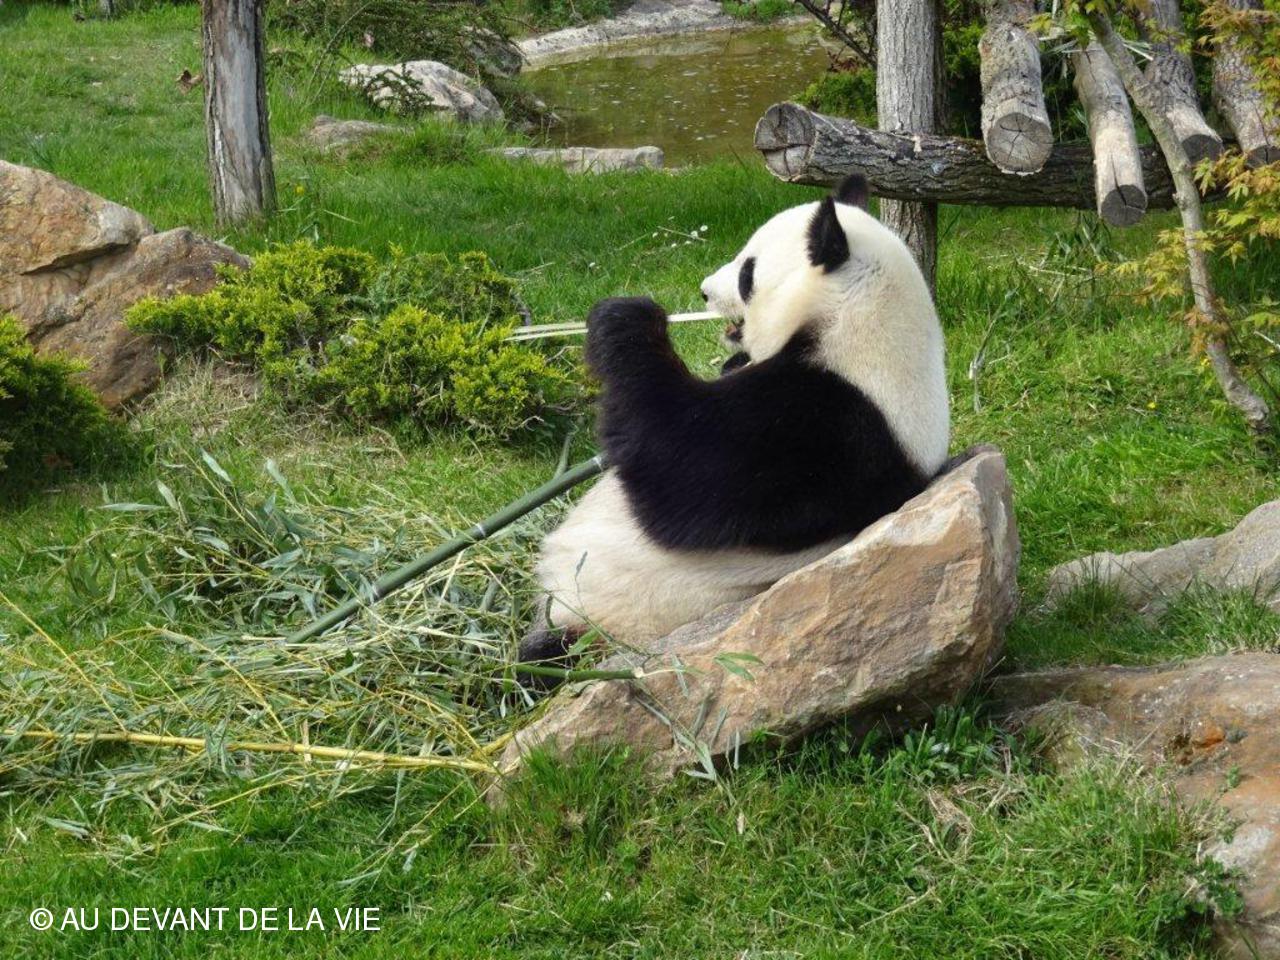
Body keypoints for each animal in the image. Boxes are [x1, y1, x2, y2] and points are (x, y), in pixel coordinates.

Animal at [520, 174, 950, 666]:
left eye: (747, 273)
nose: (704, 291)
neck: (859, 327)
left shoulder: (829, 427)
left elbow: (680, 473)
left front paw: (626, 319)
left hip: (614, 620)